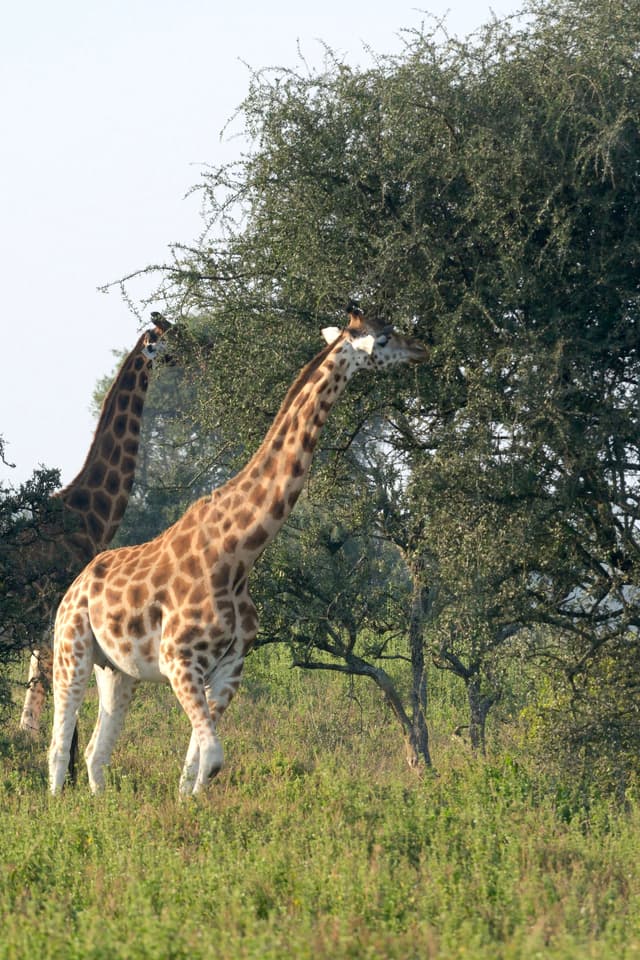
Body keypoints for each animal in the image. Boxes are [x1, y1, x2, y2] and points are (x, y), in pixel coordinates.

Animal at [48, 304, 427, 795]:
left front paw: (186, 805)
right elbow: (211, 757)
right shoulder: (179, 660)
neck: (239, 553)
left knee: (95, 751)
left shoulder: (228, 669)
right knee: (59, 748)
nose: (421, 349)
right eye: (382, 339)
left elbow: (197, 764)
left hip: (117, 670)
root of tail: (75, 585)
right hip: (70, 649)